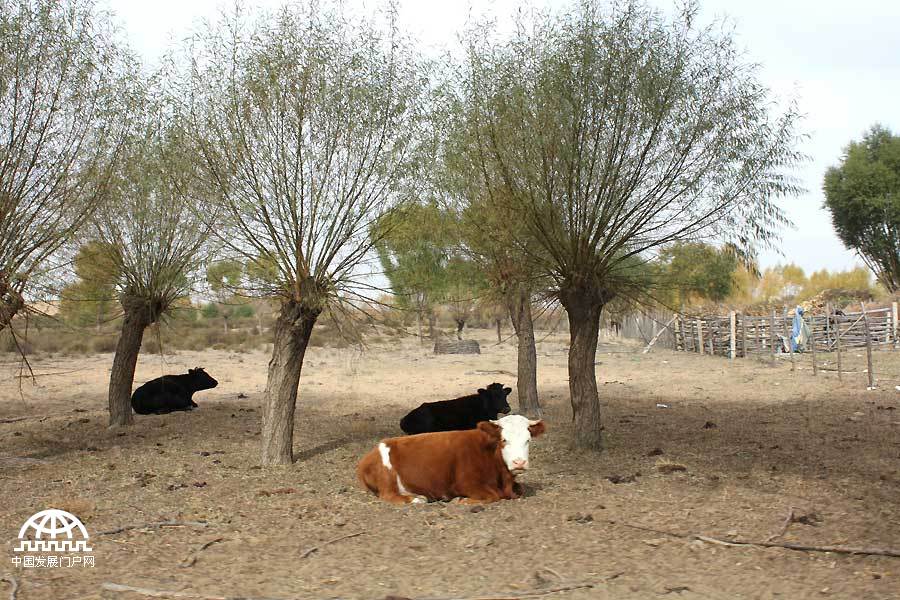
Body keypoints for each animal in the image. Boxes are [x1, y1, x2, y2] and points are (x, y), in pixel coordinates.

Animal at [356, 414, 540, 504]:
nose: (519, 462)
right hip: (387, 477)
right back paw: (416, 499)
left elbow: (520, 489)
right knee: (388, 495)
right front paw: (462, 500)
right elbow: (492, 495)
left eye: (528, 440)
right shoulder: (465, 483)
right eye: (504, 440)